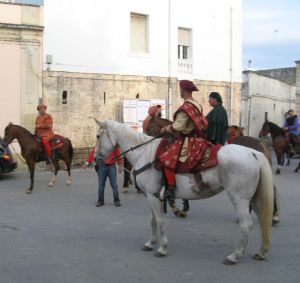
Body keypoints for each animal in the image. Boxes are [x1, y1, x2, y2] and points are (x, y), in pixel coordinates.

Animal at [94, 120, 274, 266]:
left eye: (97, 136)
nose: (96, 160)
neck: (144, 153)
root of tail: (253, 153)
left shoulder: (153, 197)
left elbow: (160, 221)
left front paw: (162, 248)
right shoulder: (152, 197)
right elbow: (153, 221)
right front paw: (151, 243)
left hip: (239, 199)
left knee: (246, 225)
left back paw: (234, 256)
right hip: (253, 199)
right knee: (261, 221)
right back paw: (261, 252)